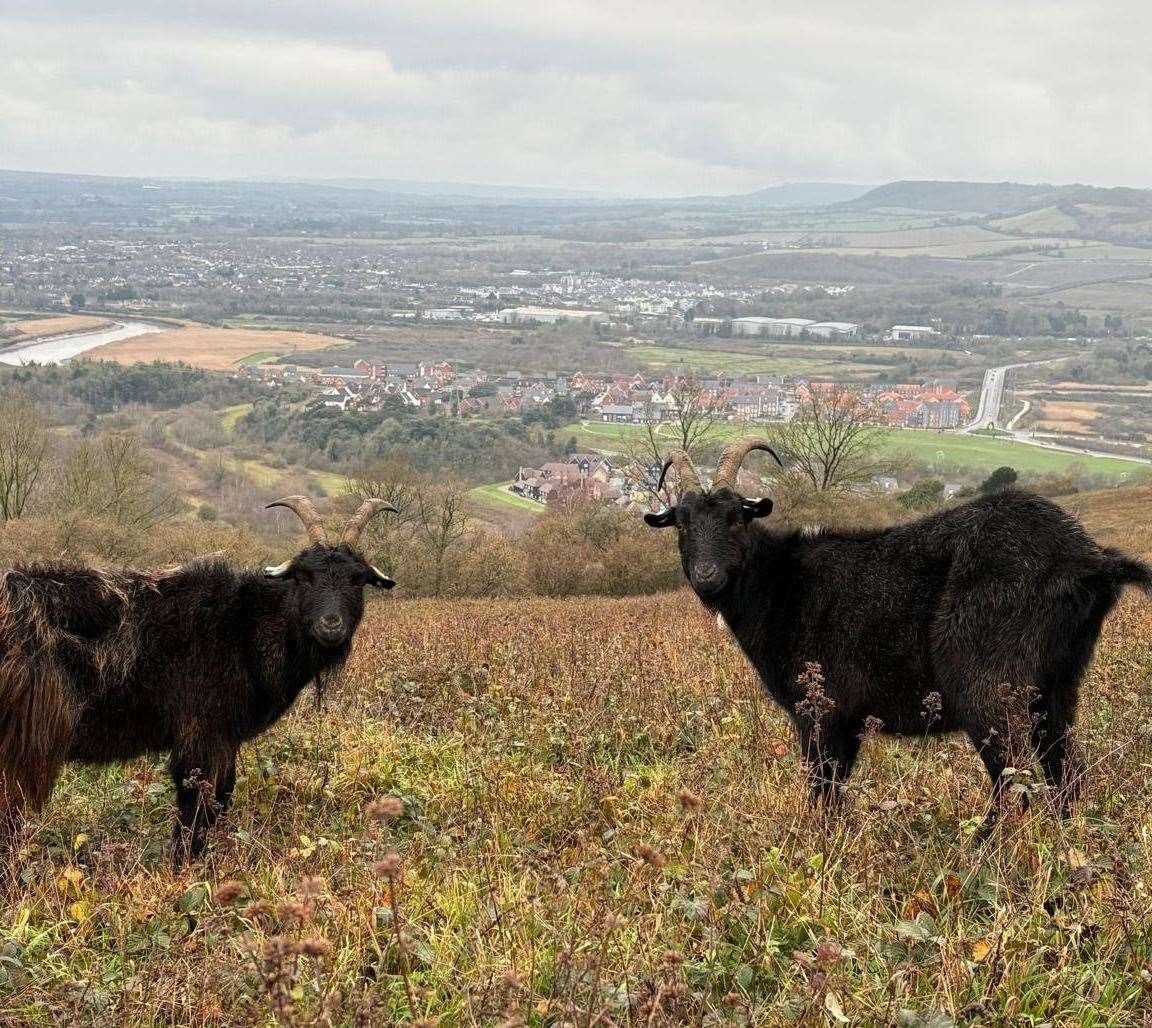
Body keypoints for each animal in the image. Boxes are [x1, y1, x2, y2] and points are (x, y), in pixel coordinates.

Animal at [0, 493, 396, 862]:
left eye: (358, 579)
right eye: (303, 575)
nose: (331, 625)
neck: (245, 626)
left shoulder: (226, 738)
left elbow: (222, 796)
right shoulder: (201, 733)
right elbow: (197, 807)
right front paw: (184, 870)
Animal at [649, 442, 1152, 834]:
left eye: (737, 518)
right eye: (682, 522)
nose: (707, 576)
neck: (779, 584)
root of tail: (1090, 560)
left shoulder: (819, 712)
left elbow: (822, 788)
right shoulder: (848, 721)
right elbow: (835, 789)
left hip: (986, 684)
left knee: (1014, 778)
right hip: (1059, 685)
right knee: (1064, 771)